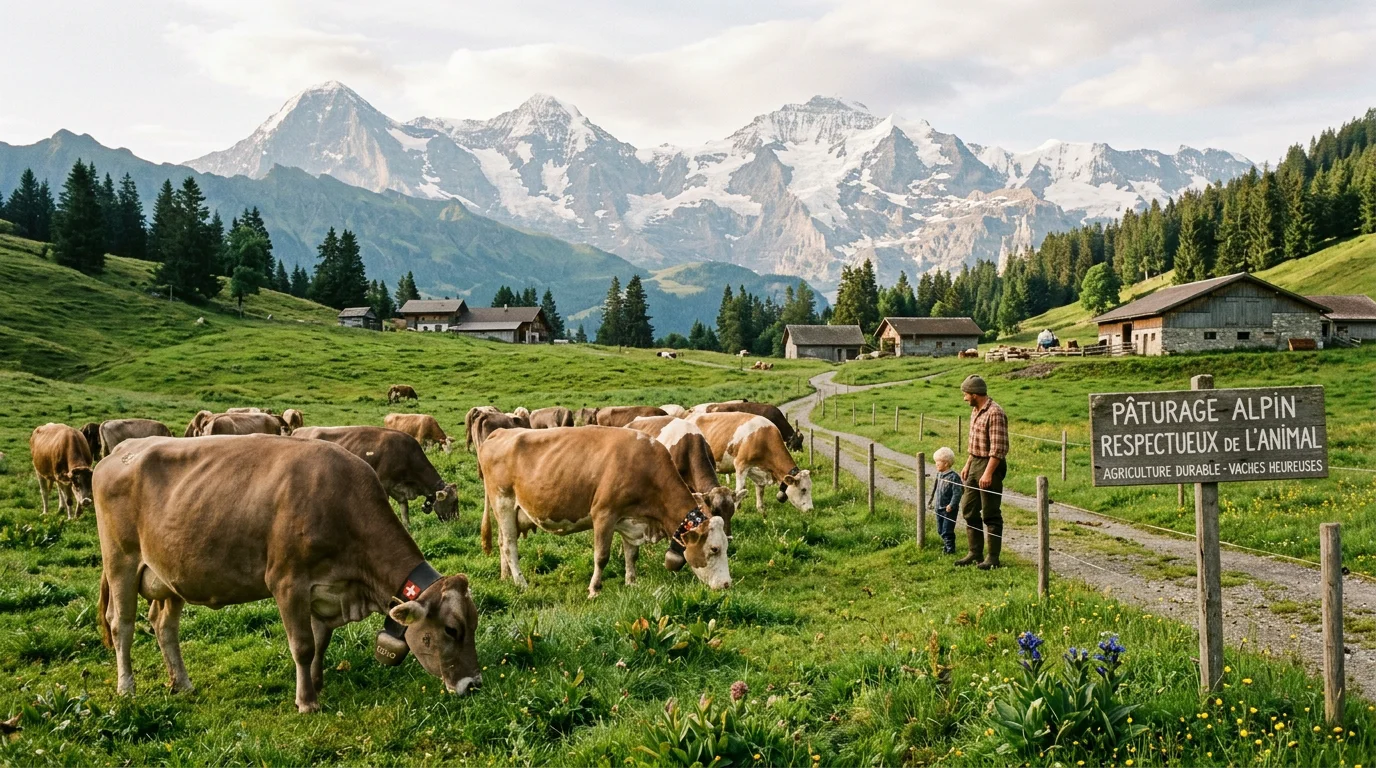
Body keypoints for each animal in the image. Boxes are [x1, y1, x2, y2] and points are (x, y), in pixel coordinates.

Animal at [292, 426, 458, 527]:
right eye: (453, 502)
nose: (457, 521)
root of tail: (298, 430)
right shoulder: (383, 485)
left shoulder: (399, 490)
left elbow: (405, 513)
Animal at [478, 426, 731, 597]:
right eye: (714, 549)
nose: (727, 584)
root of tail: (500, 432)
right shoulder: (603, 513)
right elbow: (601, 556)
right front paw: (594, 589)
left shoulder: (631, 520)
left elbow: (632, 554)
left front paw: (631, 582)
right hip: (503, 502)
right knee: (509, 545)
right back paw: (521, 583)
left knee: (501, 542)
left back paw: (505, 577)